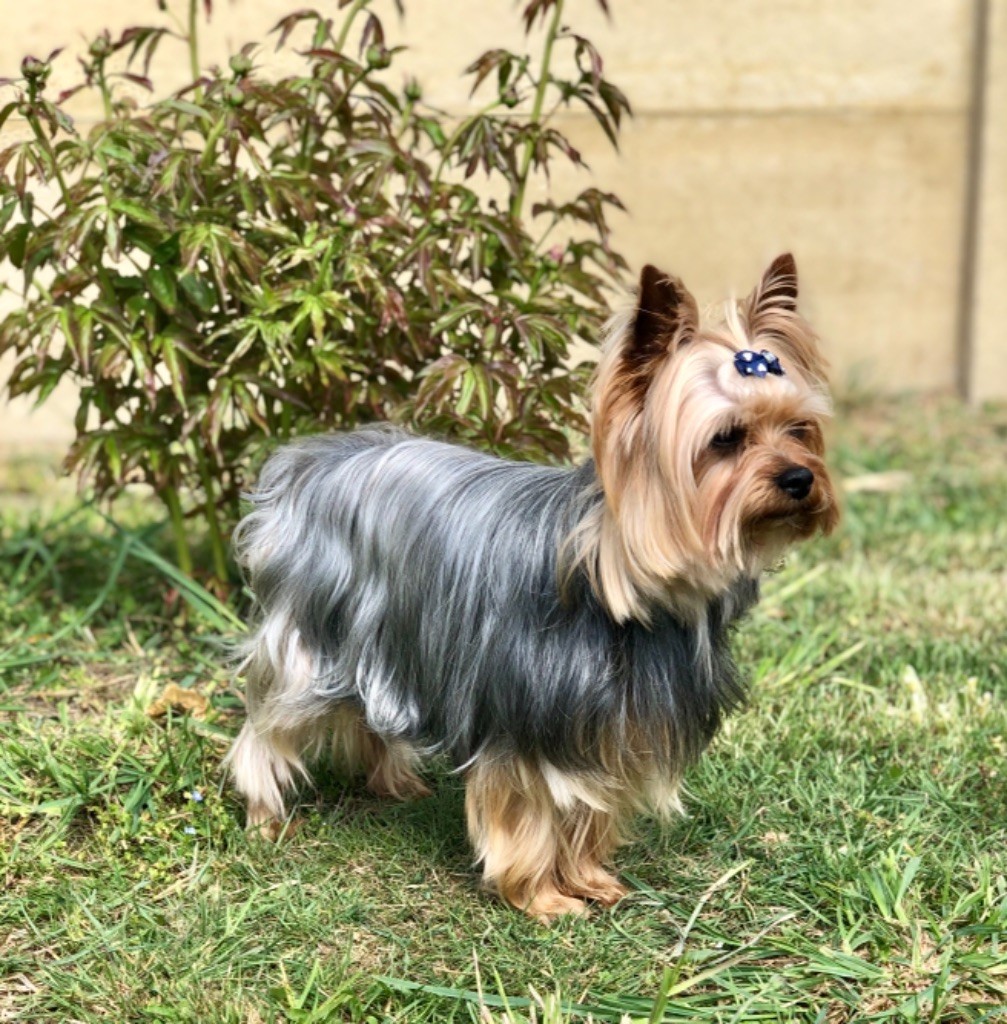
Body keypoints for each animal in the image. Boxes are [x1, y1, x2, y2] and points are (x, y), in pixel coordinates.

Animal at [225, 254, 838, 921]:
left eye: (799, 428)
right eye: (726, 438)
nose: (801, 479)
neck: (615, 578)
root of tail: (315, 458)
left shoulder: (609, 723)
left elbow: (590, 808)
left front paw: (592, 878)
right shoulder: (525, 719)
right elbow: (527, 816)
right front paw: (543, 897)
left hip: (390, 637)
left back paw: (395, 782)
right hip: (311, 641)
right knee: (268, 726)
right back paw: (264, 817)